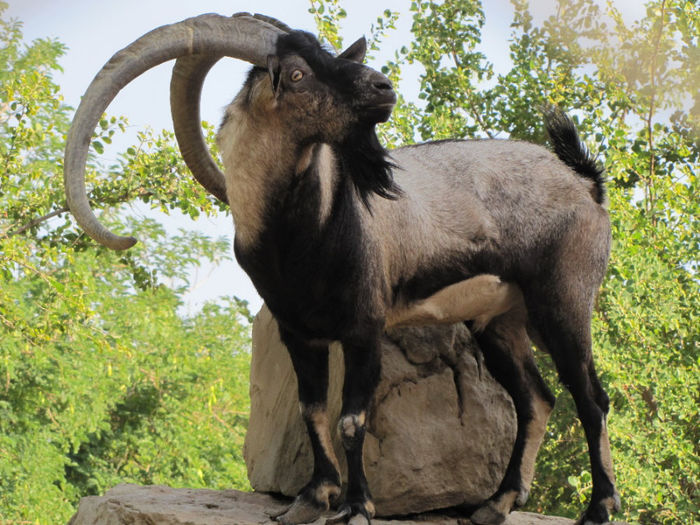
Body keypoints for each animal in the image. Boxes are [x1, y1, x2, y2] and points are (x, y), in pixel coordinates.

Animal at [65, 11, 620, 524]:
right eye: (295, 74)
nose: (382, 86)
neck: (298, 241)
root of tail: (585, 184)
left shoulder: (363, 327)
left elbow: (352, 419)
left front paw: (356, 506)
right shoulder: (299, 332)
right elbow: (312, 410)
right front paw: (312, 499)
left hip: (564, 302)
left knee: (591, 398)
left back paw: (599, 506)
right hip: (499, 319)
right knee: (536, 400)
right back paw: (497, 502)